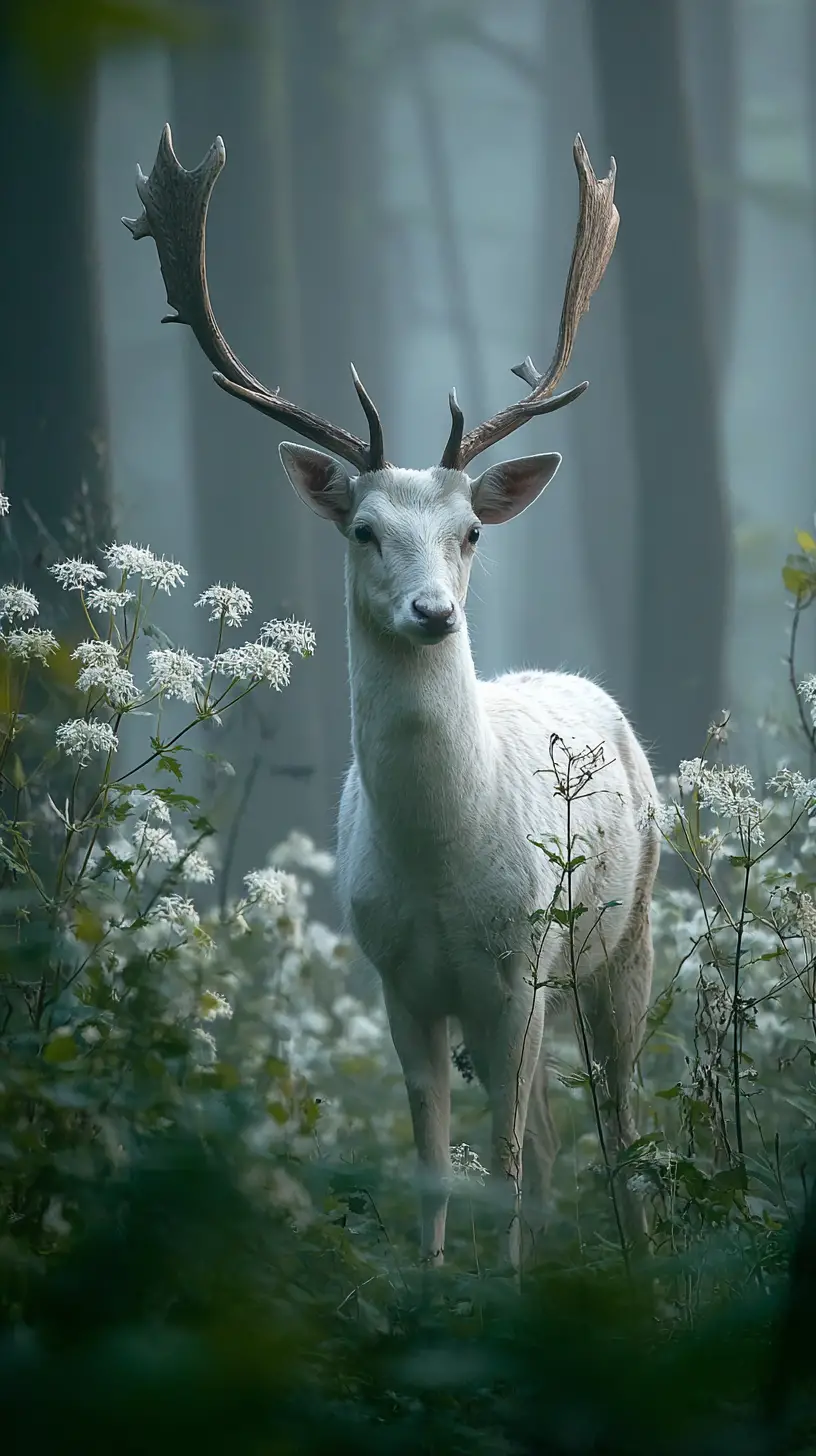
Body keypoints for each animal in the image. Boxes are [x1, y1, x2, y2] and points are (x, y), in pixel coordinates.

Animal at [125, 125, 660, 1268]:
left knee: (621, 1118)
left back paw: (642, 1262)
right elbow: (435, 1171)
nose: (433, 611)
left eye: (472, 531)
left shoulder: (513, 971)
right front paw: (436, 1289)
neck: (443, 864)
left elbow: (500, 1165)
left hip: (620, 937)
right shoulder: (399, 983)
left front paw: (503, 1295)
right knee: (559, 1136)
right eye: (364, 528)